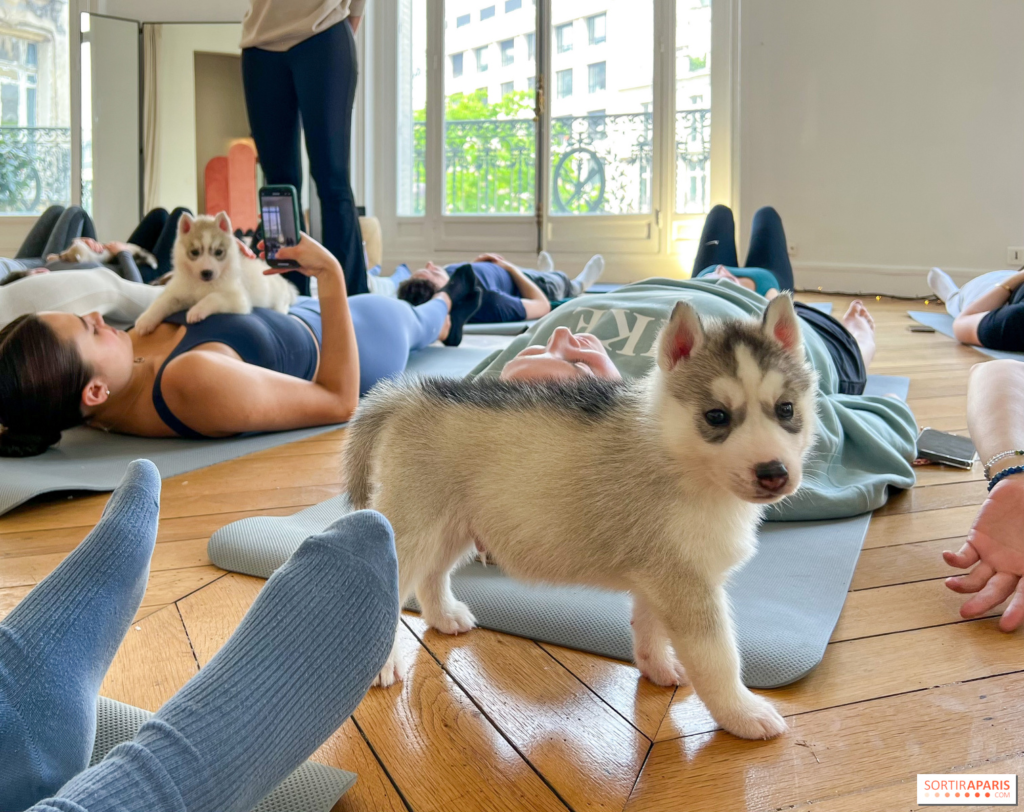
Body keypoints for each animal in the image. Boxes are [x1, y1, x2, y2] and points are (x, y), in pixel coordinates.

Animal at [133, 211, 296, 335]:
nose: (207, 273)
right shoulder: (178, 293)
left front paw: (196, 310)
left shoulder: (239, 299)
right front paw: (145, 320)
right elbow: (161, 302)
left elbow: (213, 296)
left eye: (218, 252)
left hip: (278, 301)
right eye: (194, 252)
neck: (202, 285)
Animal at [348, 294, 819, 737]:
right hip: (415, 528)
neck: (675, 454)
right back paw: (380, 664)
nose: (774, 473)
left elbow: (648, 627)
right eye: (716, 416)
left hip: (454, 527)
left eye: (786, 409)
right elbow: (719, 659)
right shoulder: (688, 585)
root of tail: (409, 394)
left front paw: (658, 668)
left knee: (431, 574)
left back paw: (444, 616)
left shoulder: (658, 575)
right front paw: (742, 713)